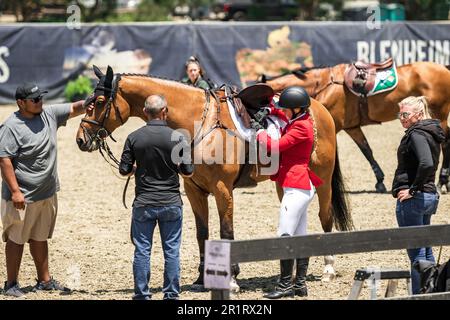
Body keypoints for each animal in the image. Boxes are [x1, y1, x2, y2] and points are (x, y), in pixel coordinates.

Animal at [75, 65, 354, 288]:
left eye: (99, 102)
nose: (80, 140)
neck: (199, 122)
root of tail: (318, 108)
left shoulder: (222, 189)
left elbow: (226, 232)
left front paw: (231, 281)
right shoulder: (194, 190)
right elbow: (203, 233)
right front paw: (202, 279)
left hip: (323, 179)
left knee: (325, 215)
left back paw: (328, 268)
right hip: (282, 184)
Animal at [258, 61, 450, 194]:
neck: (326, 83)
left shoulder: (334, 126)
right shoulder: (352, 127)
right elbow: (367, 150)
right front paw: (380, 181)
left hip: (439, 116)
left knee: (445, 144)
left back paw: (442, 182)